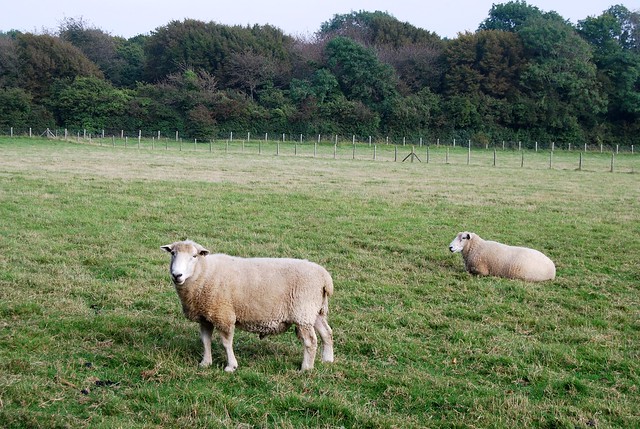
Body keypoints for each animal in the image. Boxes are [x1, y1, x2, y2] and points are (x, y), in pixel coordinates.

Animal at [160, 239, 336, 370]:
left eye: (194, 256)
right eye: (173, 254)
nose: (177, 275)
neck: (205, 273)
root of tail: (324, 277)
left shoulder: (224, 315)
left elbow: (226, 343)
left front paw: (231, 366)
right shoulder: (205, 317)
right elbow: (205, 341)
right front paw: (205, 363)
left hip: (303, 313)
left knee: (310, 341)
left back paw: (306, 368)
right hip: (315, 311)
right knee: (327, 333)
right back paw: (327, 360)